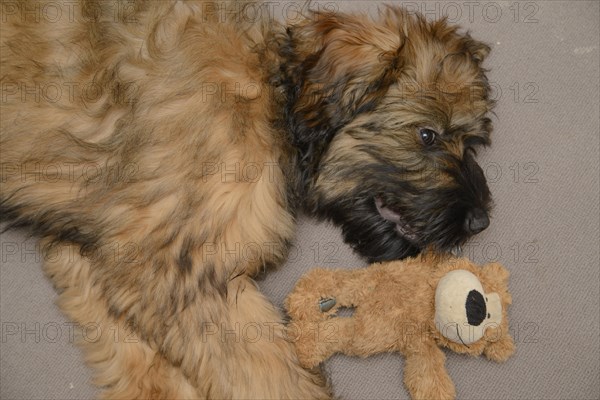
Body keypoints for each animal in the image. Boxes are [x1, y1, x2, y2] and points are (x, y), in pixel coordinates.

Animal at [1, 1, 492, 398]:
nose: (480, 222)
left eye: (471, 142)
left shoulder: (97, 255)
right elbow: (271, 376)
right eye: (427, 135)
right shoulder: (182, 270)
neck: (270, 96)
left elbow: (144, 363)